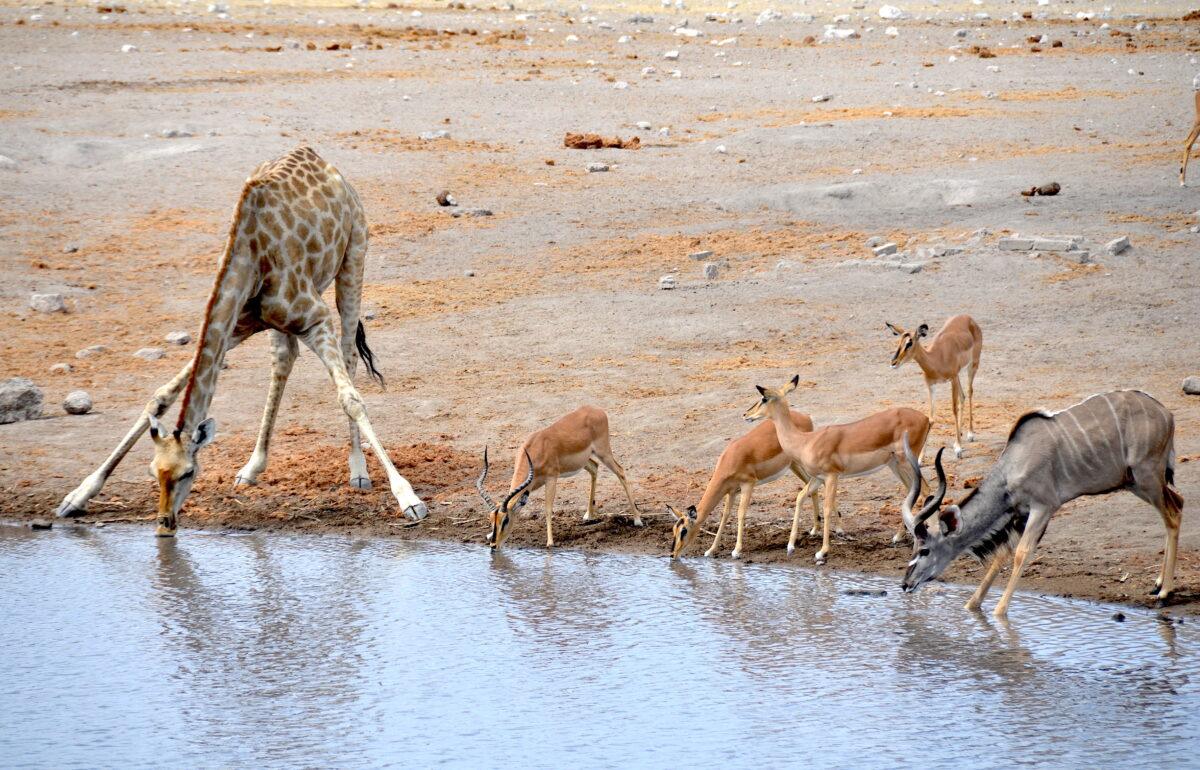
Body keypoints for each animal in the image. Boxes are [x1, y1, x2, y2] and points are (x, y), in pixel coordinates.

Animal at [55, 146, 429, 535]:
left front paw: (409, 499)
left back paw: (358, 471)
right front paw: (78, 494)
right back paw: (252, 468)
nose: (165, 523)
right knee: (284, 358)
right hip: (279, 321)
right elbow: (160, 396)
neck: (249, 257)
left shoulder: (316, 317)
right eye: (154, 472)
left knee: (348, 355)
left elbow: (351, 399)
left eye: (189, 473)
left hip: (353, 259)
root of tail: (326, 163)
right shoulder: (236, 326)